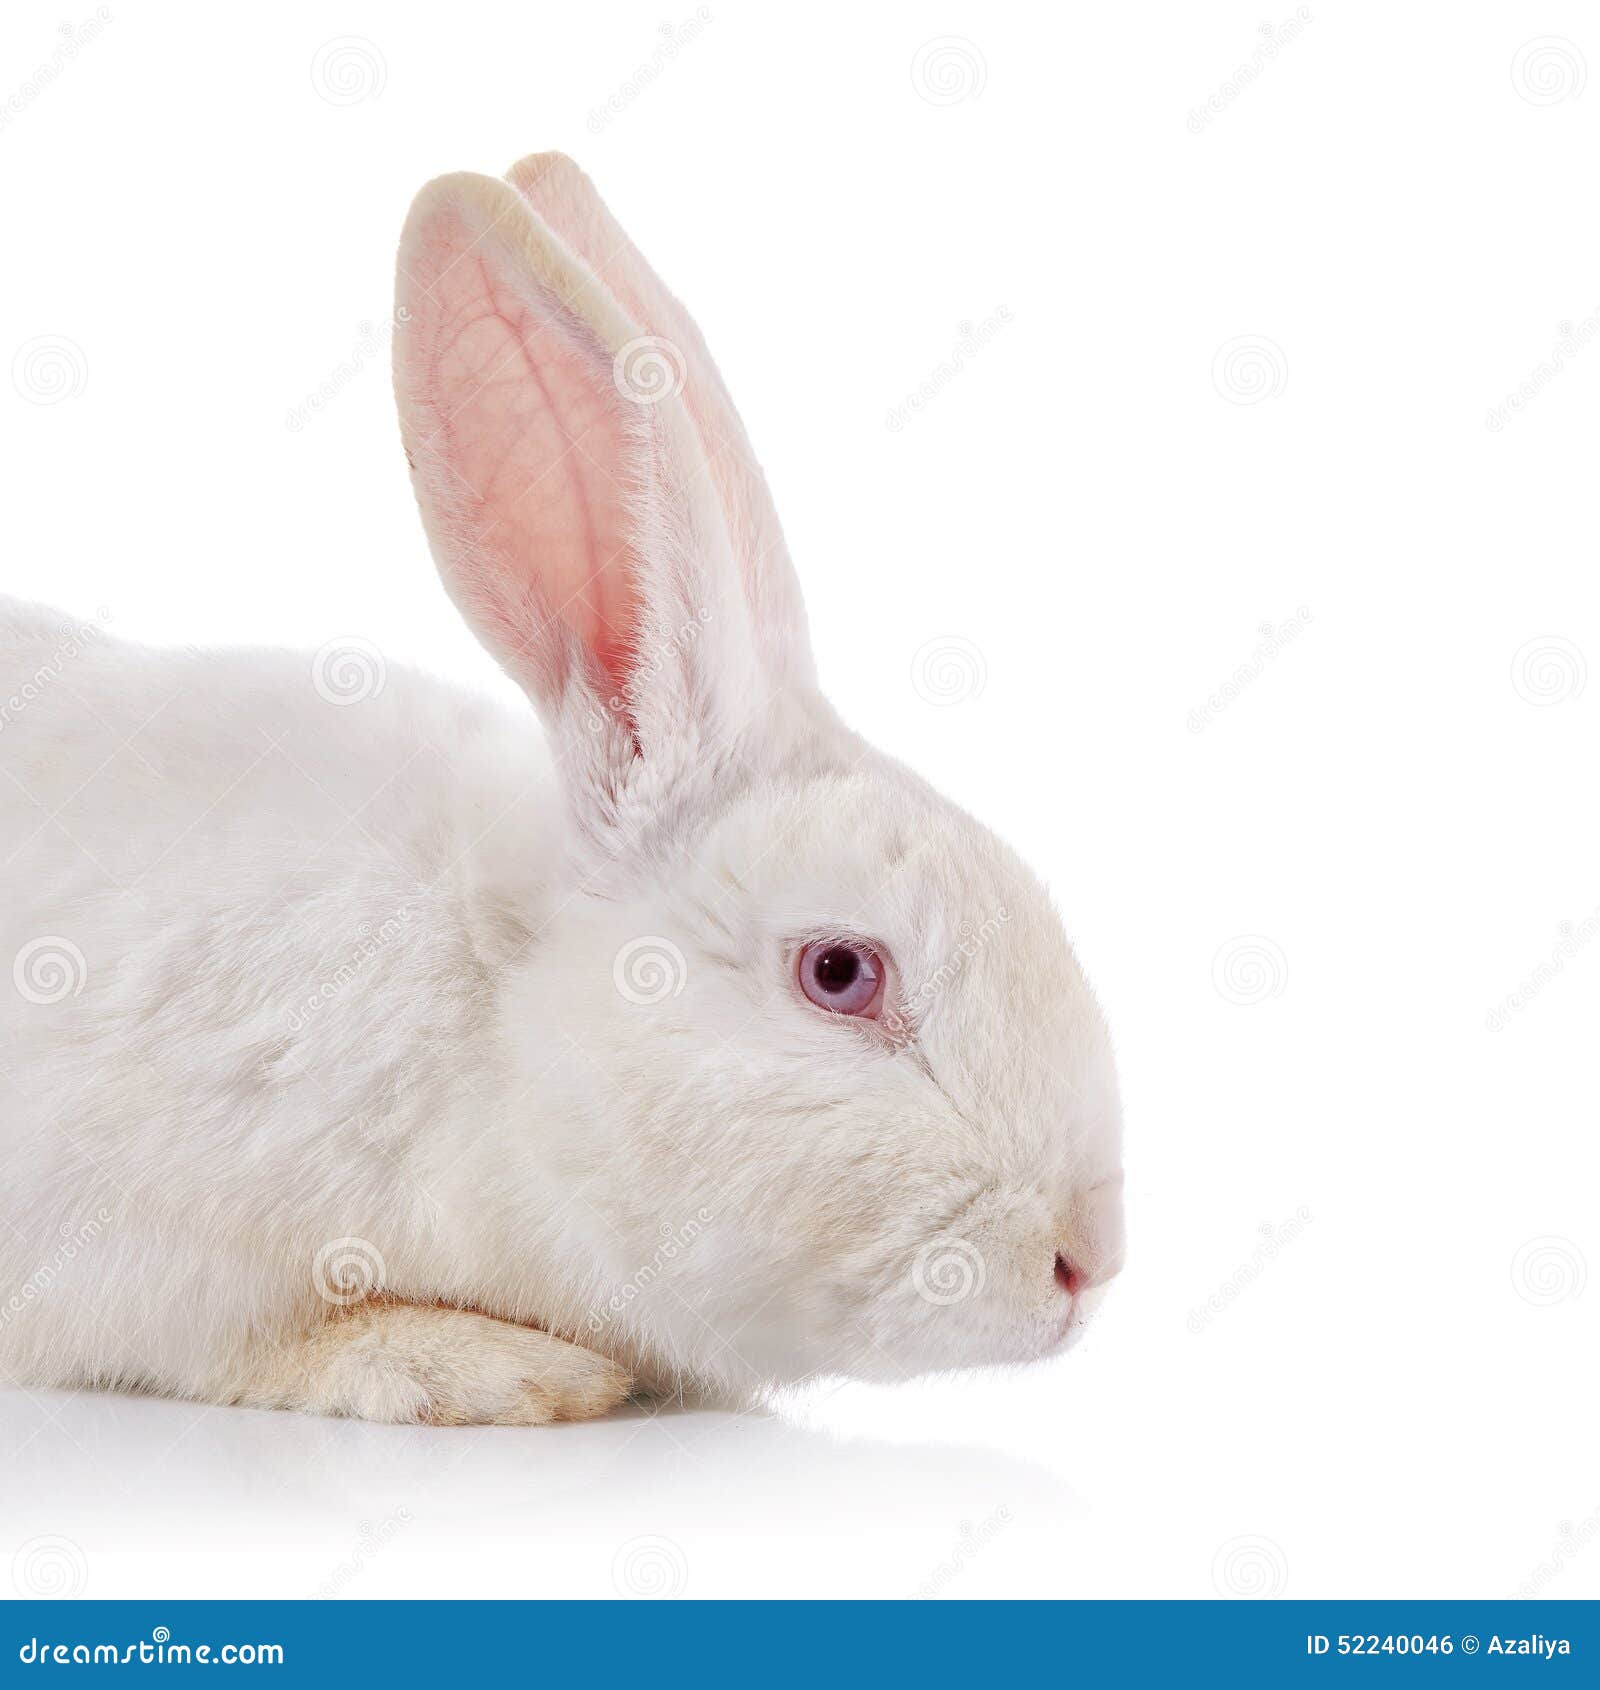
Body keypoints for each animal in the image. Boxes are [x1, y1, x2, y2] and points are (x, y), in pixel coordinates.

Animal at [3, 155, 1128, 1426]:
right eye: (840, 972)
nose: (1091, 1257)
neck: (494, 999)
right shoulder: (141, 1246)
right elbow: (260, 1341)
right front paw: (497, 1369)